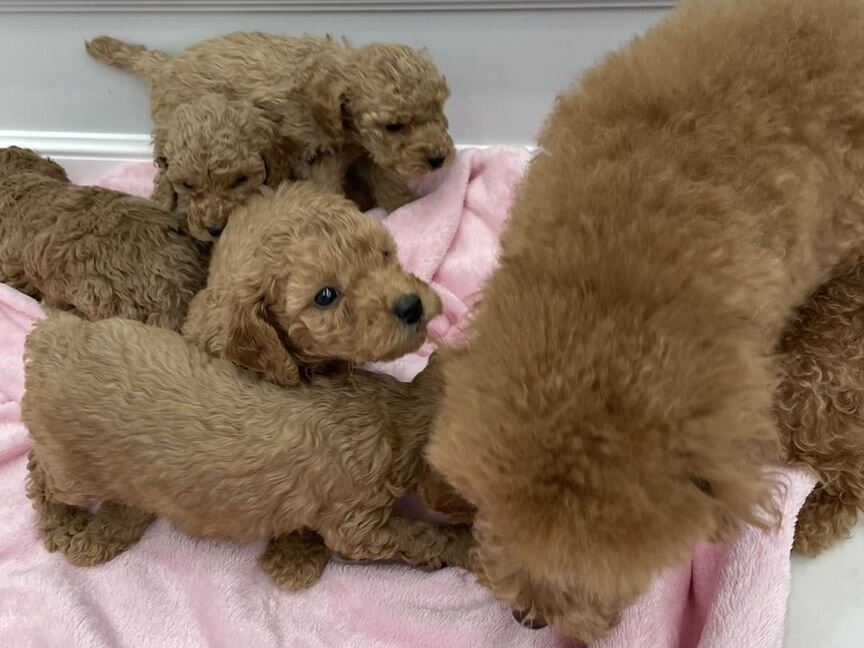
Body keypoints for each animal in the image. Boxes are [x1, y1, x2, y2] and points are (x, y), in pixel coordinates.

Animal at [23, 312, 470, 588]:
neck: (394, 414)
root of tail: (51, 345)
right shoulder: (357, 521)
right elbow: (414, 535)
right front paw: (460, 545)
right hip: (73, 470)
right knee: (39, 475)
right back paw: (62, 522)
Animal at [84, 33, 456, 210]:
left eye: (439, 109)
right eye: (394, 126)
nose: (439, 158)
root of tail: (165, 64)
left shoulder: (359, 149)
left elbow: (384, 178)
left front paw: (406, 209)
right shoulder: (304, 150)